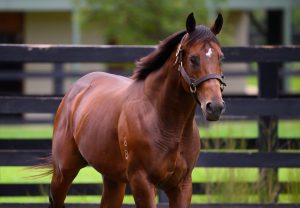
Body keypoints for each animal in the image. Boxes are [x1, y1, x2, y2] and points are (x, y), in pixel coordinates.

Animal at [46, 12, 225, 207]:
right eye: (193, 58)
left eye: (220, 57)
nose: (215, 107)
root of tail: (75, 90)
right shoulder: (142, 182)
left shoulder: (182, 185)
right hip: (64, 171)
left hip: (113, 179)